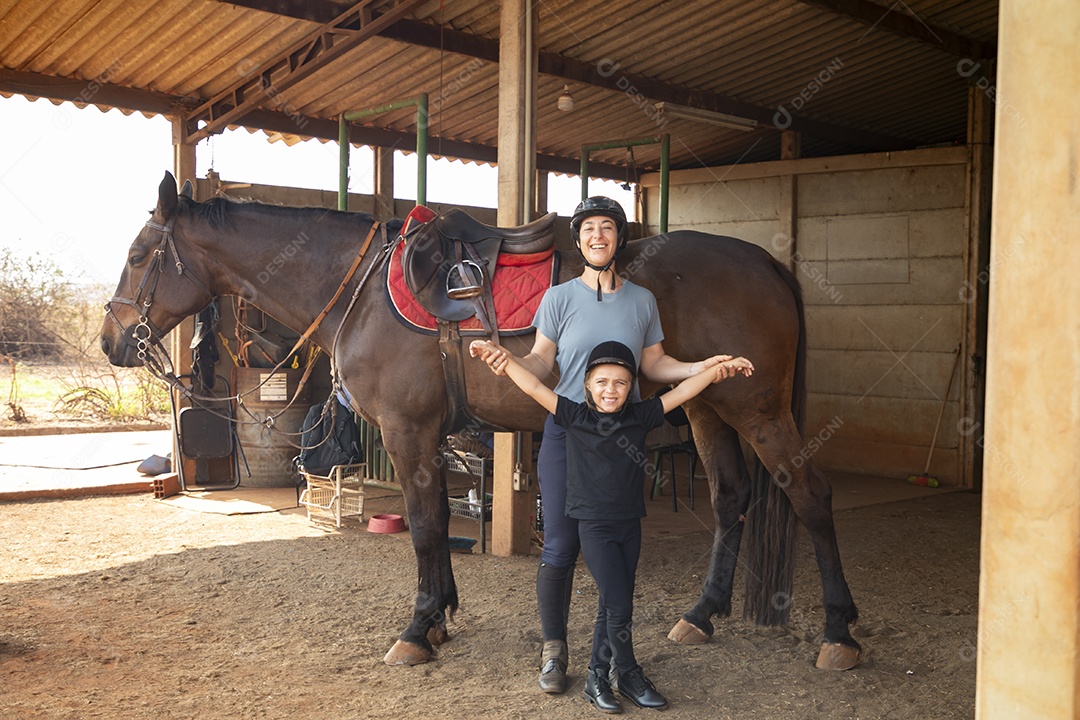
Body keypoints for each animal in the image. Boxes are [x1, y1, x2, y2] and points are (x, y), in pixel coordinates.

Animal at [101, 172, 860, 671]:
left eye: (137, 256)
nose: (111, 342)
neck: (360, 290)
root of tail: (766, 262)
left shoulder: (407, 431)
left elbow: (425, 526)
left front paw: (416, 629)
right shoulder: (429, 436)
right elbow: (436, 524)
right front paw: (439, 617)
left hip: (757, 409)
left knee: (811, 496)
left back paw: (839, 632)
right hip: (707, 406)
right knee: (732, 499)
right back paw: (701, 616)